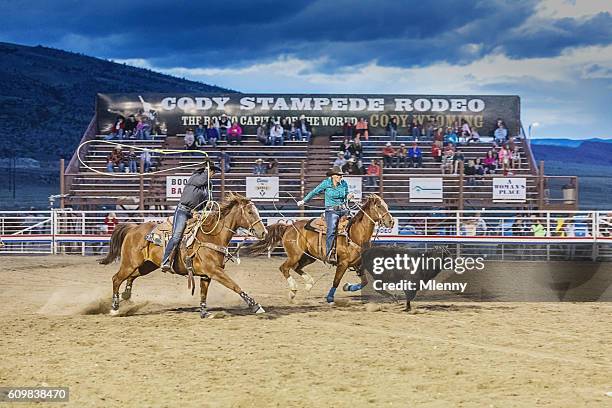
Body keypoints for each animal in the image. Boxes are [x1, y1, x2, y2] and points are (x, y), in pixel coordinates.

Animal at [100, 193, 268, 318]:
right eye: (250, 212)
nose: (264, 232)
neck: (211, 236)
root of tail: (133, 228)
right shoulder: (214, 271)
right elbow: (234, 285)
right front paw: (255, 306)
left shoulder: (206, 275)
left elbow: (203, 293)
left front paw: (204, 312)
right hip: (129, 263)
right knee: (116, 278)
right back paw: (114, 308)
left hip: (147, 265)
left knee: (131, 277)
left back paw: (126, 294)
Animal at [246, 194, 394, 302]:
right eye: (379, 206)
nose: (391, 222)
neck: (354, 234)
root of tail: (288, 227)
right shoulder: (343, 263)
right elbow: (336, 281)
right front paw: (330, 297)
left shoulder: (358, 264)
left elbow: (366, 282)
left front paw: (348, 287)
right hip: (295, 255)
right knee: (284, 268)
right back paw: (293, 291)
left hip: (308, 257)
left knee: (296, 268)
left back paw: (309, 284)